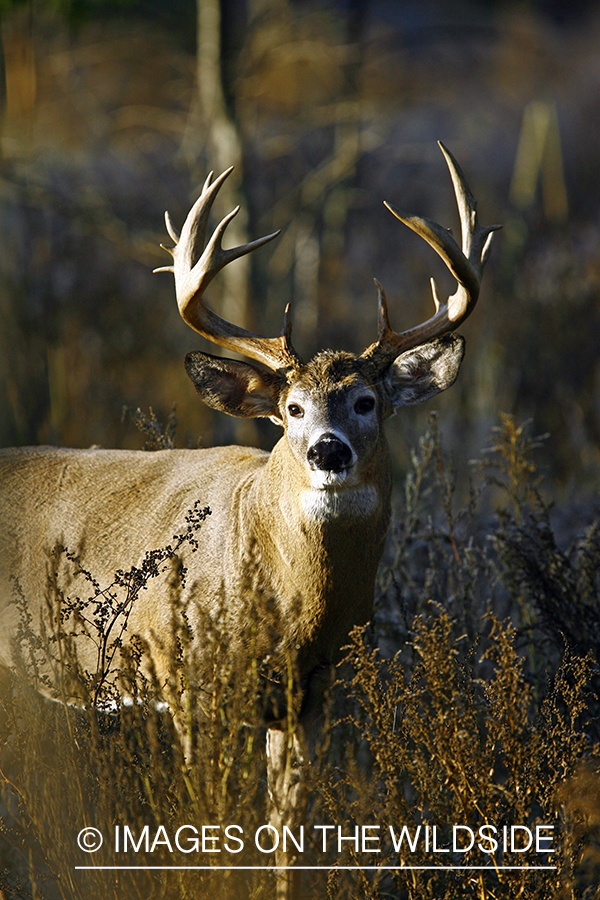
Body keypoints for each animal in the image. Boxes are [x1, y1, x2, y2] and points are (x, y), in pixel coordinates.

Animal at [0, 142, 496, 900]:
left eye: (367, 402)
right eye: (291, 408)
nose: (327, 449)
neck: (288, 606)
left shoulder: (308, 698)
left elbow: (291, 834)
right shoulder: (185, 678)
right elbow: (211, 824)